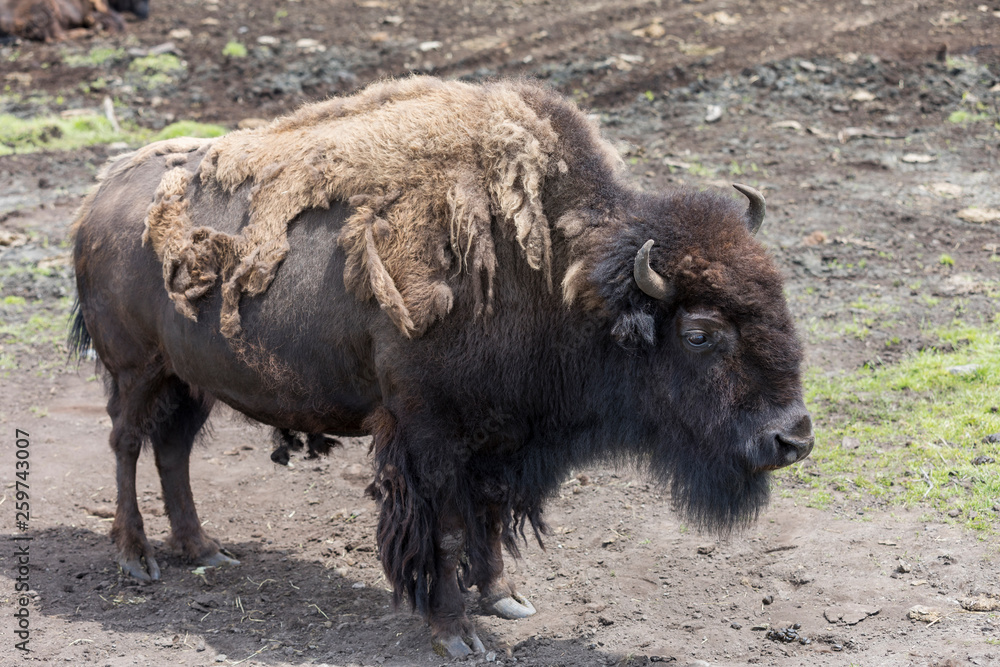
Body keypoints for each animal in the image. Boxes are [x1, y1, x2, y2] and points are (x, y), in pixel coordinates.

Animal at [71, 77, 813, 657]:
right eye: (699, 334)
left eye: (780, 299)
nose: (793, 438)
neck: (558, 280)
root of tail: (97, 201)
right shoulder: (430, 438)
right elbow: (447, 533)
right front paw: (458, 633)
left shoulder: (497, 439)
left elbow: (486, 517)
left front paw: (504, 596)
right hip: (137, 371)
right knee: (127, 444)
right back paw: (138, 561)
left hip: (190, 381)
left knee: (173, 451)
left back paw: (204, 551)